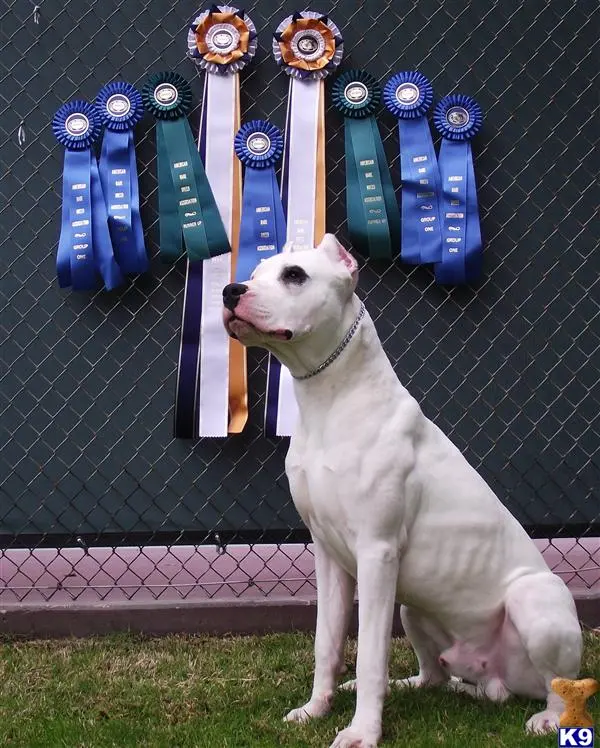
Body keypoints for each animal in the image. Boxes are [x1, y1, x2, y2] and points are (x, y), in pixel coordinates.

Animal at [221, 235, 580, 748]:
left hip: (535, 600)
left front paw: (361, 732)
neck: (330, 401)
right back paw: (419, 685)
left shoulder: (376, 553)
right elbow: (326, 643)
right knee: (436, 675)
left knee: (559, 685)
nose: (231, 291)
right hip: (414, 608)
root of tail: (498, 680)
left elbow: (371, 655)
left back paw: (548, 718)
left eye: (294, 275)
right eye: (255, 273)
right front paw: (316, 708)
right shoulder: (328, 554)